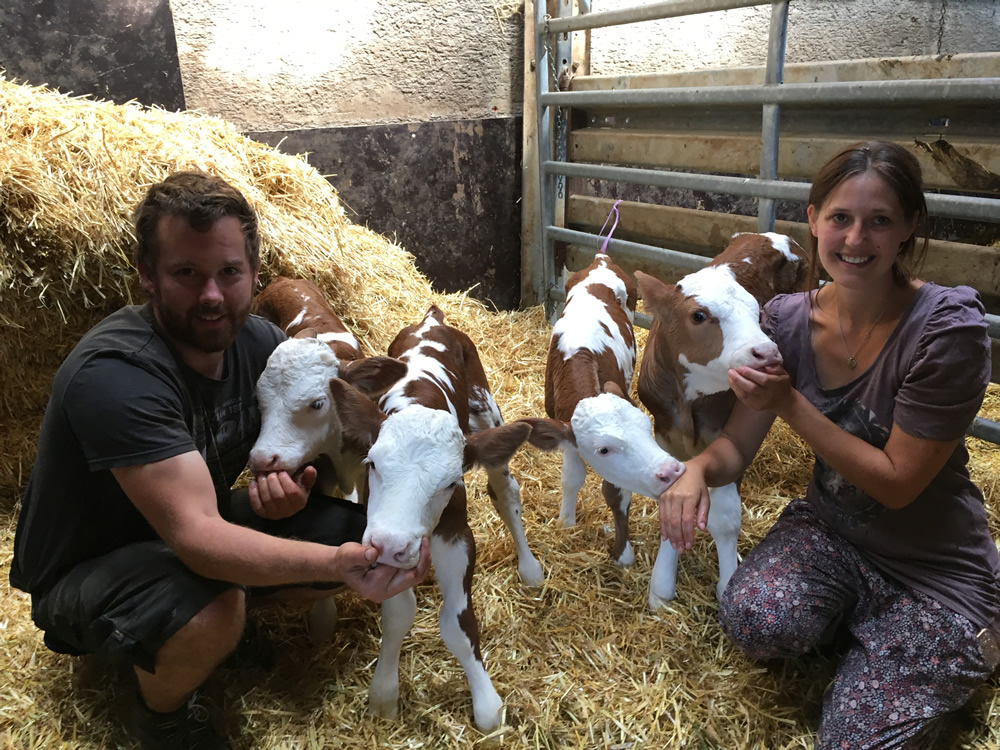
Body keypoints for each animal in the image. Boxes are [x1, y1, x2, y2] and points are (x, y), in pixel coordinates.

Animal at [326, 306, 540, 736]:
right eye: (372, 464)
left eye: (450, 482)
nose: (390, 544)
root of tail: (431, 318)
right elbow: (397, 612)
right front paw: (384, 694)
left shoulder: (456, 534)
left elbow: (457, 624)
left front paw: (487, 705)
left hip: (485, 411)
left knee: (505, 491)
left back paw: (529, 567)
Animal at [512, 253, 684, 612]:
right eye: (602, 449)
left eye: (646, 429)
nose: (671, 471)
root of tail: (600, 258)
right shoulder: (568, 436)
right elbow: (572, 479)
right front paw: (566, 522)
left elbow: (616, 493)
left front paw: (623, 552)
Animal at [636, 232, 808, 608]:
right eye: (699, 315)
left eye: (757, 313)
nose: (768, 353)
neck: (688, 401)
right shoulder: (664, 429)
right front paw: (662, 585)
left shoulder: (724, 431)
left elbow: (726, 518)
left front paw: (727, 580)